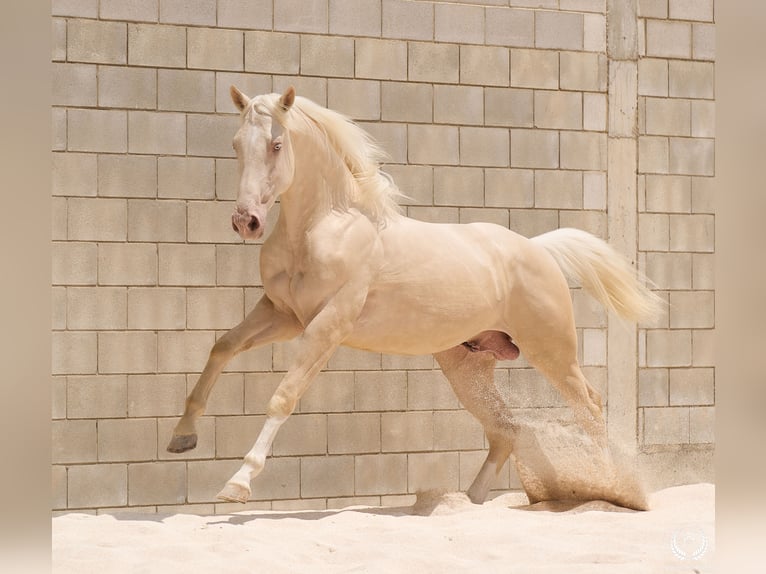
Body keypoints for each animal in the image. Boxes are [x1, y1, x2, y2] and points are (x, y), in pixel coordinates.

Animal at [167, 86, 663, 506]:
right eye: (235, 144)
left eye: (275, 145)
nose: (246, 222)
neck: (325, 225)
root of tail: (537, 248)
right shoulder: (282, 314)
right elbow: (222, 347)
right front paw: (182, 437)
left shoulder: (326, 325)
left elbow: (283, 397)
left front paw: (237, 483)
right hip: (466, 364)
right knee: (506, 429)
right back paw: (464, 502)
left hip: (551, 351)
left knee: (589, 406)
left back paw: (610, 488)